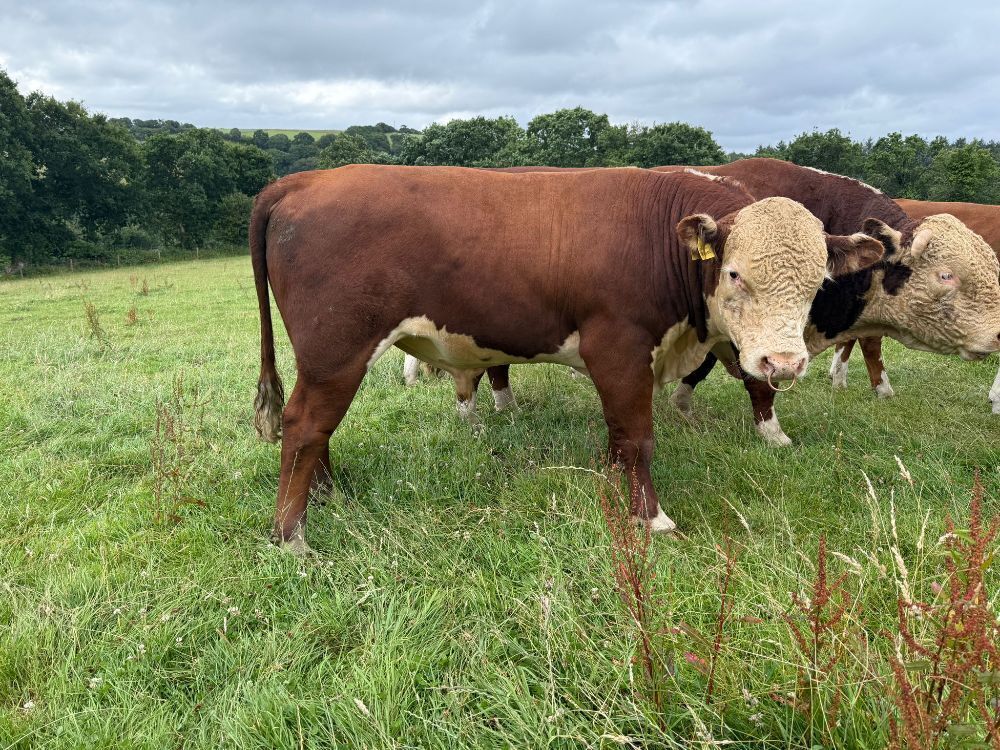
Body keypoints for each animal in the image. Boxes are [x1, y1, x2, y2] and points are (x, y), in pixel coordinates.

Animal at [250, 165, 883, 553]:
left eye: (817, 281)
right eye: (733, 274)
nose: (784, 364)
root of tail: (305, 180)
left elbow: (624, 436)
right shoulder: (619, 348)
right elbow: (637, 436)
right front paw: (651, 516)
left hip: (327, 359)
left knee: (316, 430)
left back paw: (326, 495)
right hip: (337, 351)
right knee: (304, 424)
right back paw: (291, 533)